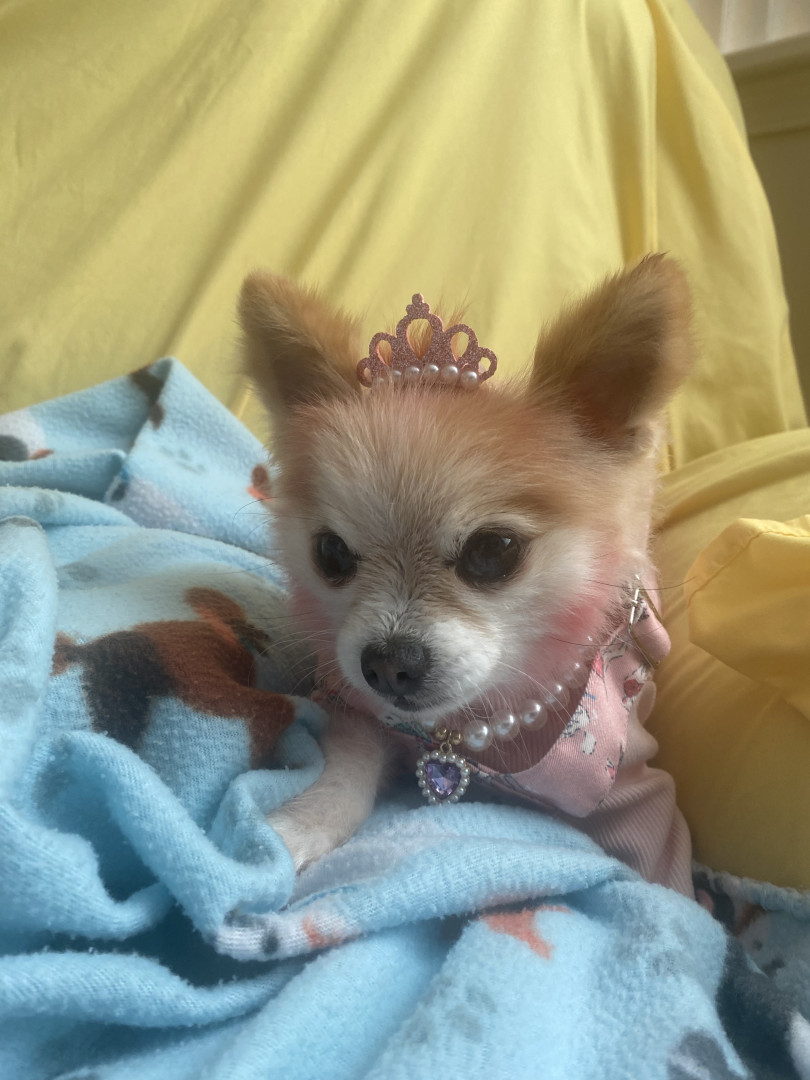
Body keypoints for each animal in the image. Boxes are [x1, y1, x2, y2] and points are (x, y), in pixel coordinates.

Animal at [240, 256, 695, 894]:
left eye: (494, 551)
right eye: (330, 554)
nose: (388, 664)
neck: (468, 732)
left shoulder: (634, 788)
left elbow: (662, 870)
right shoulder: (363, 714)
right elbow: (346, 768)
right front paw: (302, 825)